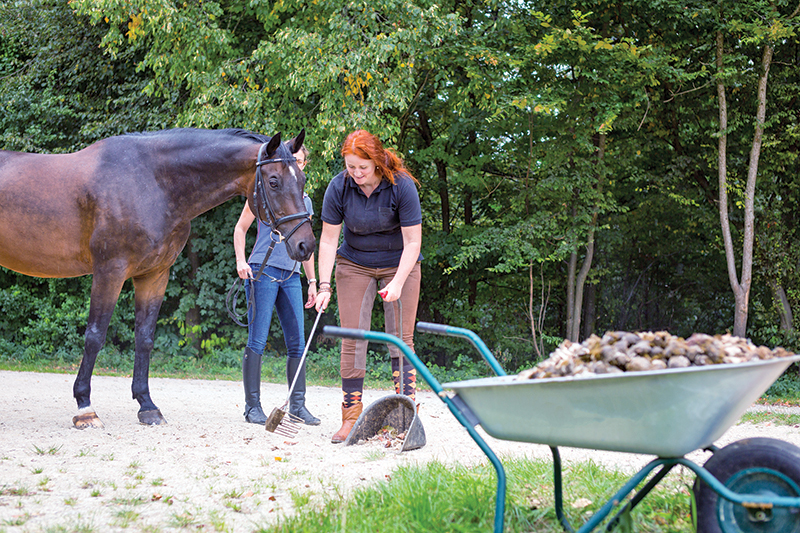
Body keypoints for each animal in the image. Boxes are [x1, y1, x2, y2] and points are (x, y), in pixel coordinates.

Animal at [0, 128, 315, 428]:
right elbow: (95, 336)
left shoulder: (154, 275)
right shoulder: (110, 271)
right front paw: (85, 408)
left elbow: (145, 338)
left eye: (301, 180)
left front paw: (147, 406)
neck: (152, 183)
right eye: (273, 182)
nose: (306, 246)